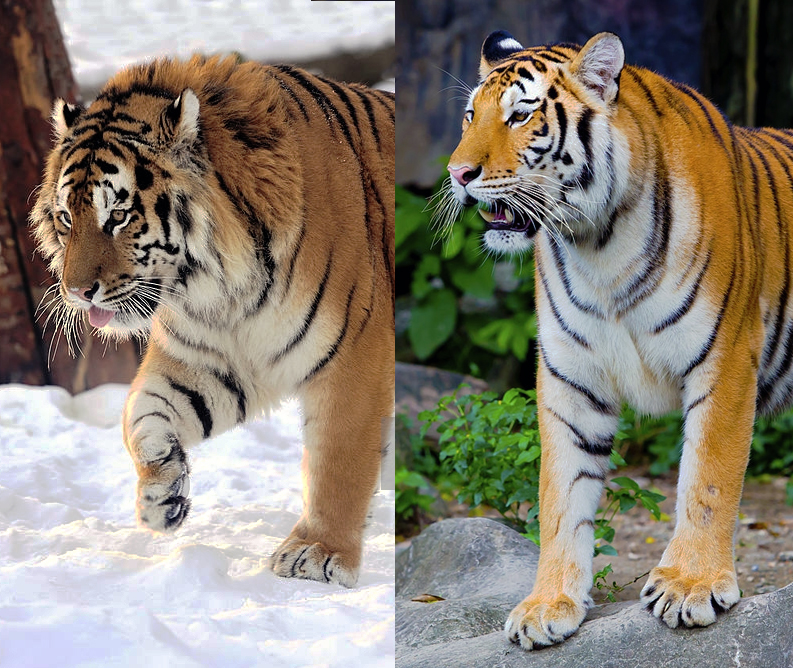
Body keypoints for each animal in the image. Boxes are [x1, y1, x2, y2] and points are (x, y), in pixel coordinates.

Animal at [31, 54, 396, 588]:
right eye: (65, 218)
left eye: (118, 215)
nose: (76, 292)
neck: (222, 293)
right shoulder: (211, 359)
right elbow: (141, 413)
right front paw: (161, 495)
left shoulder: (354, 357)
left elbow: (338, 462)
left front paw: (317, 554)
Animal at [442, 30, 792, 648]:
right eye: (469, 115)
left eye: (520, 114)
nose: (458, 173)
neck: (598, 245)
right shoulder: (569, 377)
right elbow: (560, 496)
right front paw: (547, 605)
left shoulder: (725, 359)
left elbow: (708, 479)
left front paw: (691, 585)